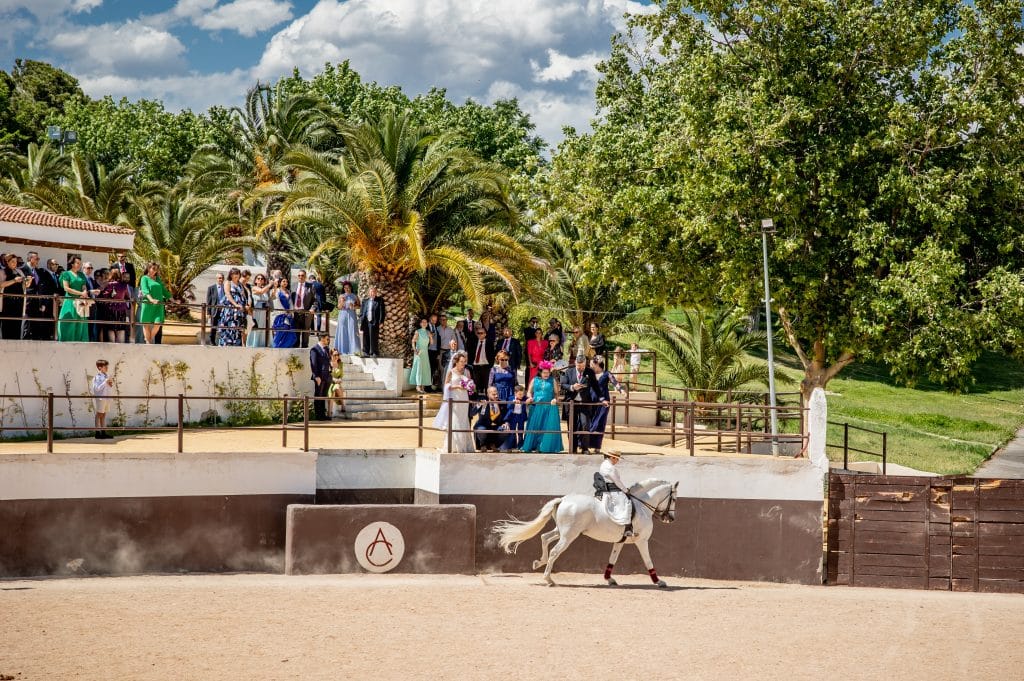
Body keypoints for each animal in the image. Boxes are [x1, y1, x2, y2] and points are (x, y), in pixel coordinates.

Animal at [489, 477, 675, 585]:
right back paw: (548, 579)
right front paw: (658, 581)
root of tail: (564, 499)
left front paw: (609, 579)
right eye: (673, 499)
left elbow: (612, 559)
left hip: (561, 532)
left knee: (544, 537)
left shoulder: (620, 541)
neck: (642, 505)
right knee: (554, 551)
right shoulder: (642, 541)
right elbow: (648, 561)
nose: (671, 518)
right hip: (568, 536)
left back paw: (539, 562)